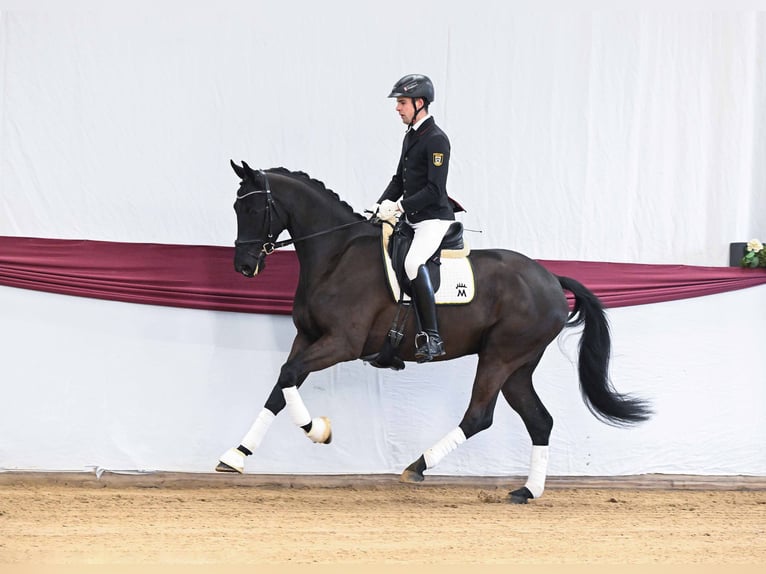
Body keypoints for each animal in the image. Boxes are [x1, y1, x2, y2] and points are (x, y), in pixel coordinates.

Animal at [216, 161, 652, 503]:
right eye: (237, 206)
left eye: (253, 207)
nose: (244, 266)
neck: (335, 255)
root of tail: (550, 278)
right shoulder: (307, 338)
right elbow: (280, 386)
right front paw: (236, 455)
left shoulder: (341, 343)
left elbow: (288, 377)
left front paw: (317, 430)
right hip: (519, 366)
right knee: (539, 421)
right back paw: (527, 491)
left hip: (500, 356)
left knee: (479, 415)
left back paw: (417, 466)